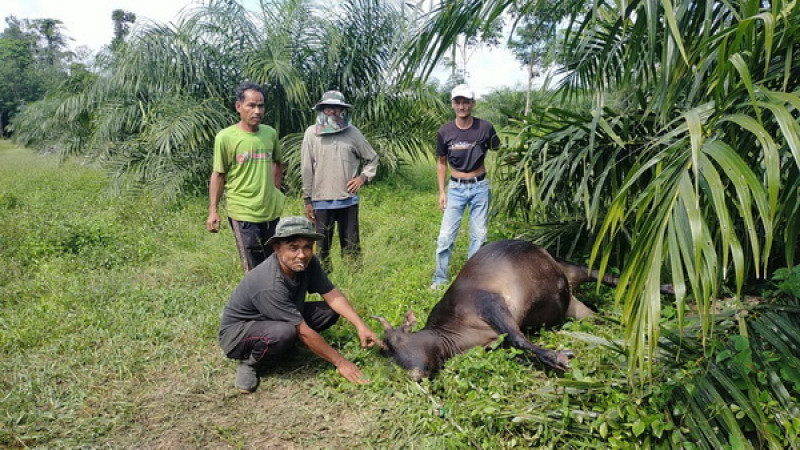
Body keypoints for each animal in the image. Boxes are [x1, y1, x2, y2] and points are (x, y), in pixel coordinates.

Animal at [376, 239, 668, 380]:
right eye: (388, 353)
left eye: (398, 338)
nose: (415, 375)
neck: (452, 331)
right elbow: (517, 346)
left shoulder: (490, 304)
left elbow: (518, 337)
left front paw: (559, 358)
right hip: (576, 308)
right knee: (602, 319)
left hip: (574, 269)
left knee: (614, 277)